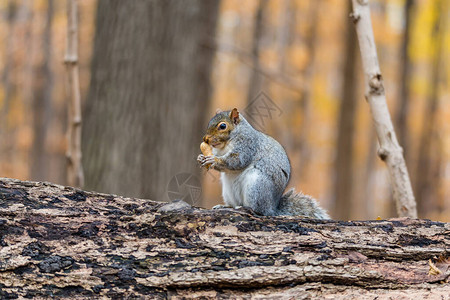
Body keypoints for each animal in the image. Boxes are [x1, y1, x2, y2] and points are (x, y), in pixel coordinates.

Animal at [199, 108, 328, 220]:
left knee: (259, 210)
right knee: (235, 203)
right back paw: (227, 206)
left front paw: (214, 160)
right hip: (228, 190)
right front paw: (201, 157)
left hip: (257, 187)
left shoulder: (247, 145)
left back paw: (245, 208)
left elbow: (237, 161)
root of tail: (272, 208)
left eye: (222, 126)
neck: (225, 144)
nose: (205, 139)